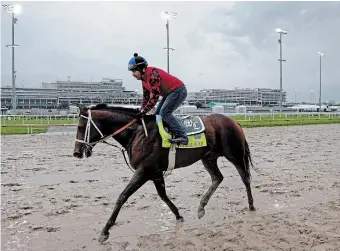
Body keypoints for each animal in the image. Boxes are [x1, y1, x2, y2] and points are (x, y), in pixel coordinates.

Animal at [73, 103, 255, 243]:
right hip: (208, 157)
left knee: (245, 177)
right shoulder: (155, 173)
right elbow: (163, 196)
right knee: (218, 178)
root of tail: (234, 122)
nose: (76, 152)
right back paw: (201, 207)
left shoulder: (143, 171)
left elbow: (122, 197)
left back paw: (251, 205)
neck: (137, 133)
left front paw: (105, 231)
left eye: (81, 127)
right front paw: (178, 215)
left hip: (235, 155)